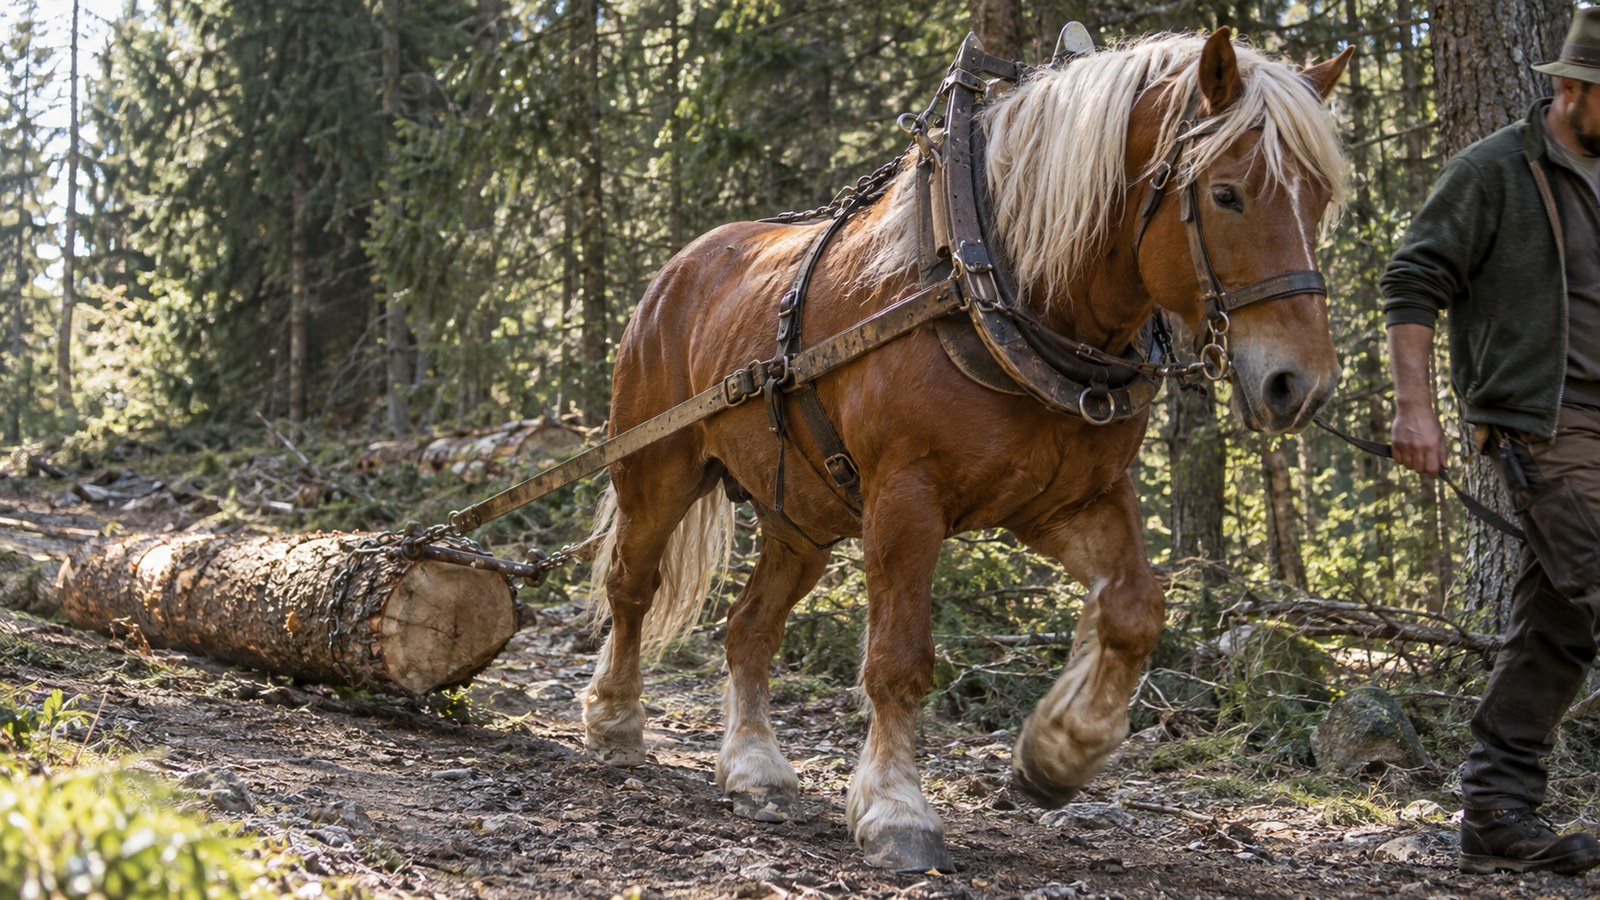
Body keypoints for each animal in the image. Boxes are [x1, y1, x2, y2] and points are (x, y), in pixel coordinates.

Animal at [580, 27, 1352, 873]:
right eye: (1227, 194)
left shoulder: (1069, 501)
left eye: (1319, 199)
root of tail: (676, 272)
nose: (1299, 383)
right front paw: (895, 810)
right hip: (658, 470)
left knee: (749, 629)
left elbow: (1134, 613)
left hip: (801, 516)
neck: (997, 285)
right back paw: (614, 721)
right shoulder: (905, 500)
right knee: (631, 587)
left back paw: (755, 769)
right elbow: (900, 660)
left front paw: (1059, 752)